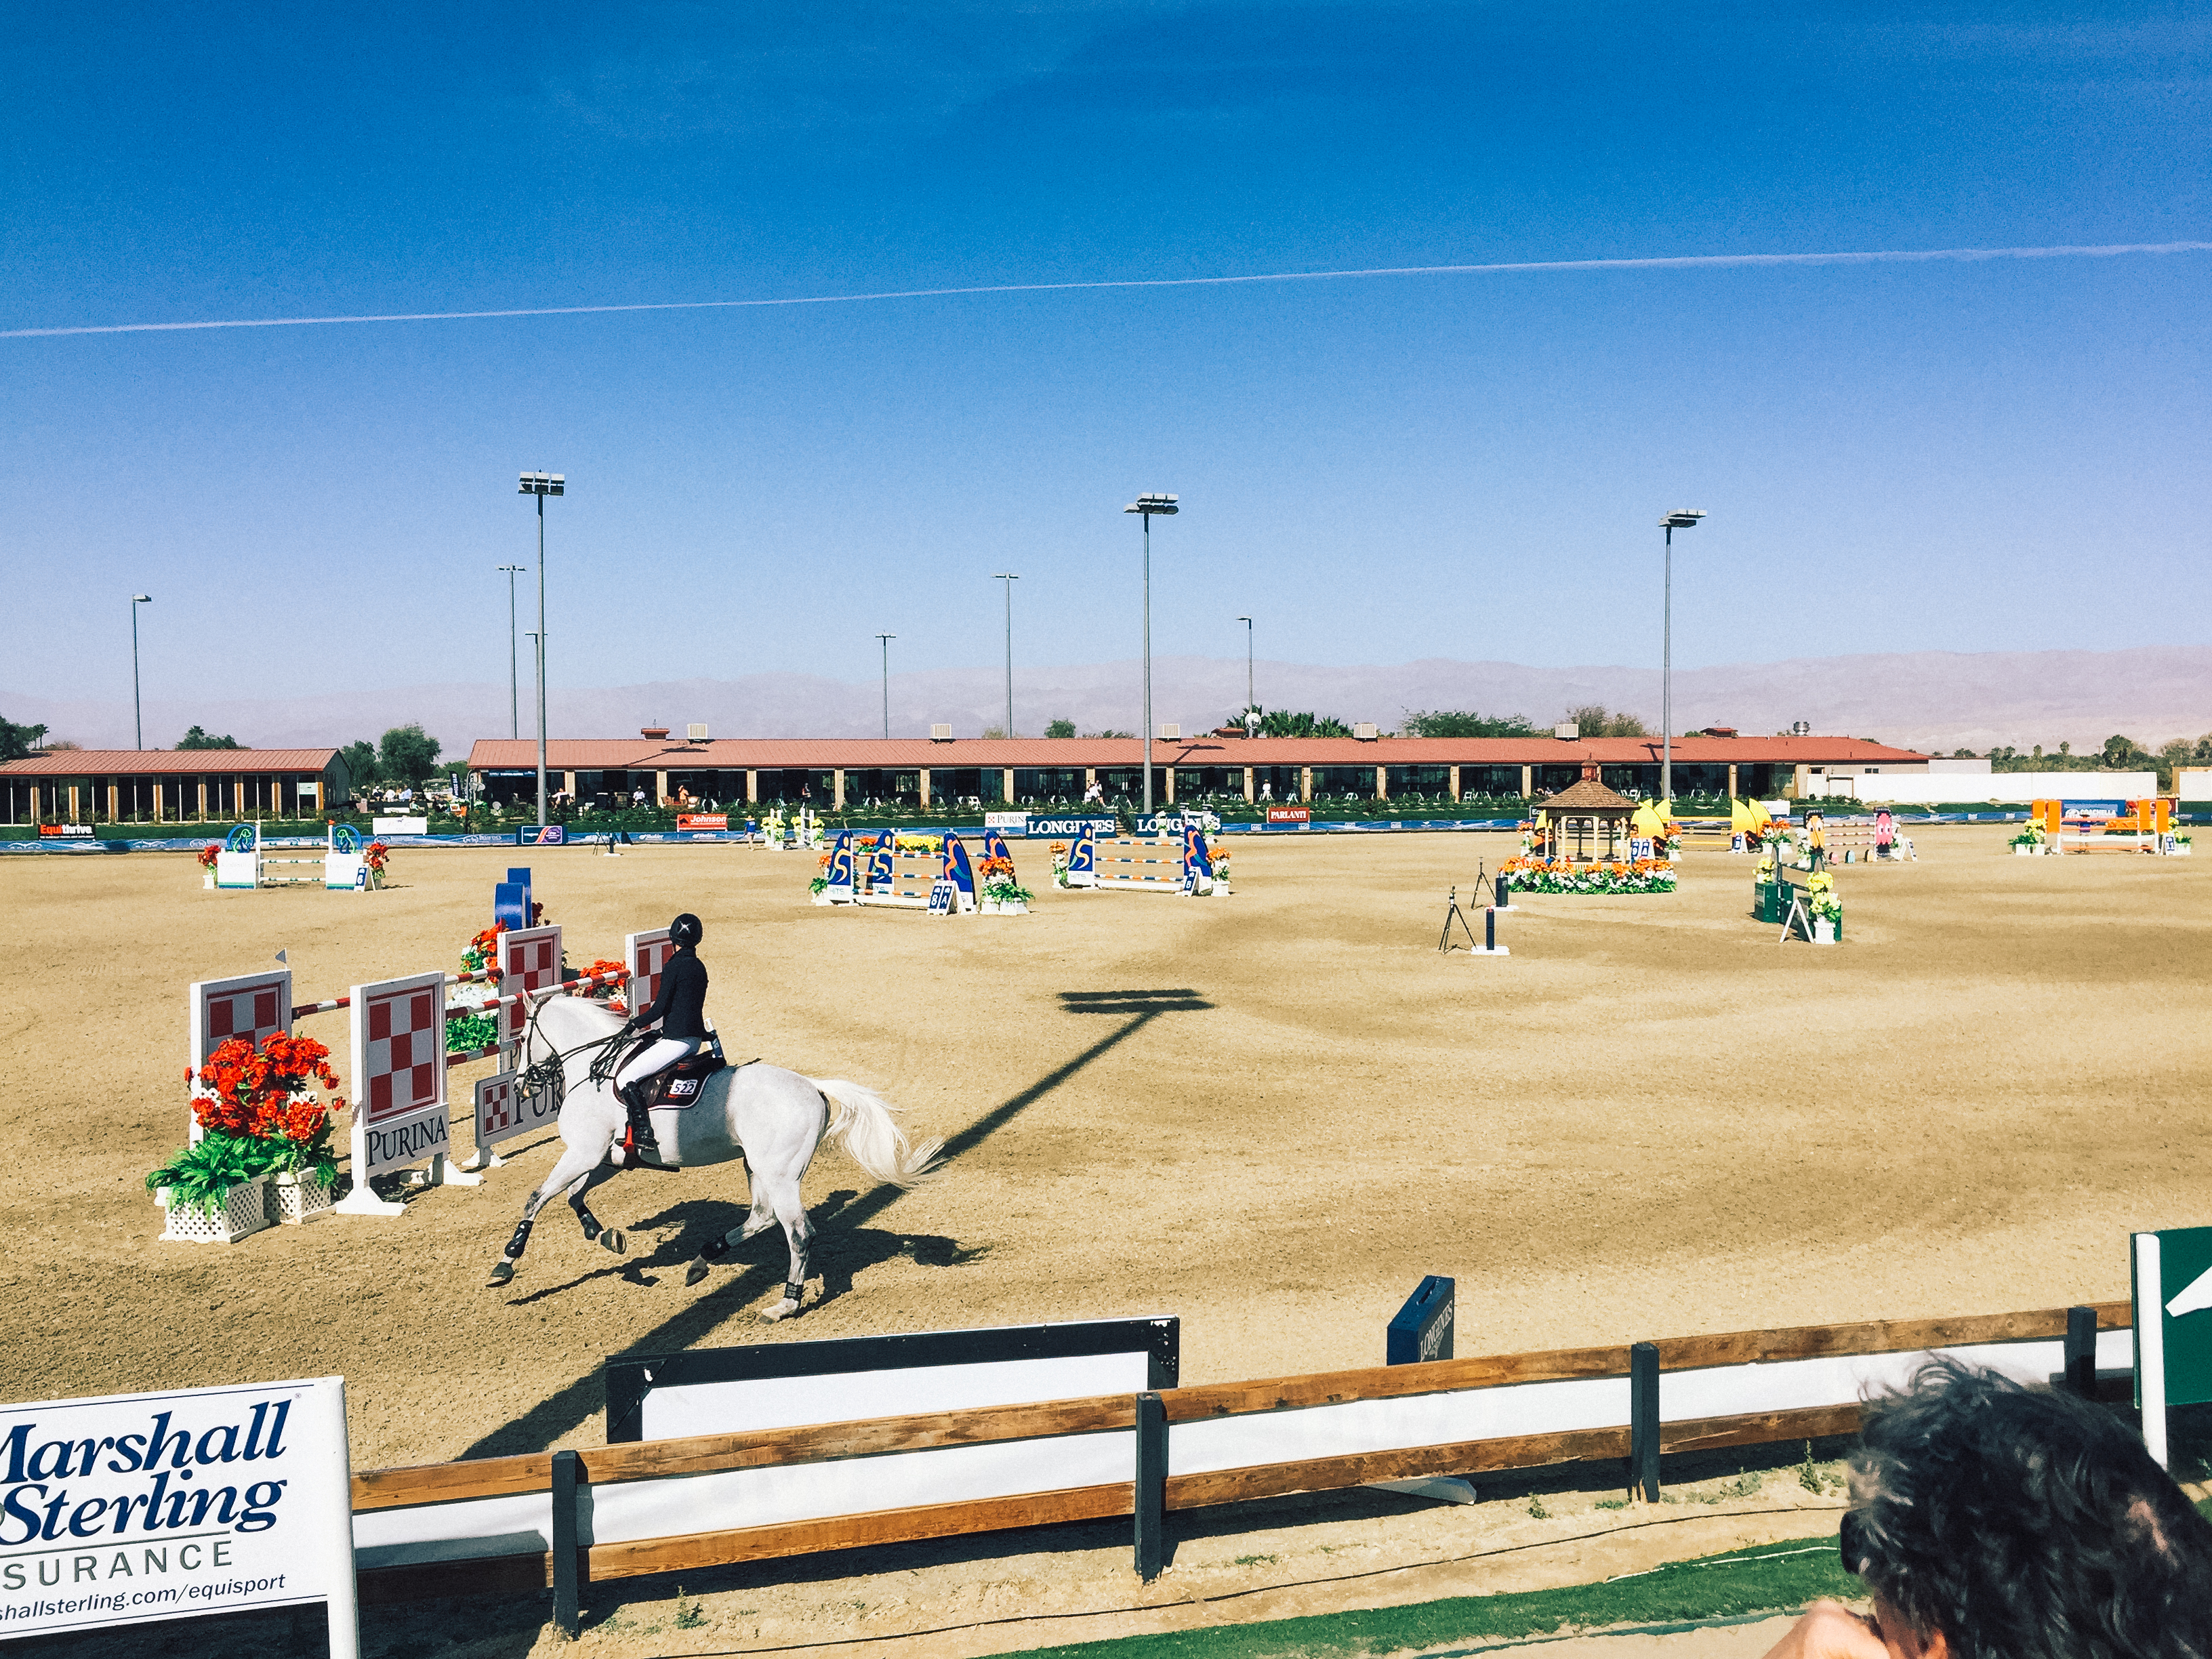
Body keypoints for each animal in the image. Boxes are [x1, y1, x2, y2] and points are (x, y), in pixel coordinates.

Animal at [489, 986, 937, 1327]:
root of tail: (813, 1086)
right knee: (762, 1216)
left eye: (521, 1042)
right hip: (757, 1166)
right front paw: (605, 1235)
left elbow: (537, 1198)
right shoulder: (605, 1158)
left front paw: (506, 1263)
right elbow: (572, 1196)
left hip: (780, 1175)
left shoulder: (583, 1153)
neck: (595, 1072)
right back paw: (702, 1260)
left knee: (798, 1233)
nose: (522, 1086)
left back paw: (785, 1304)